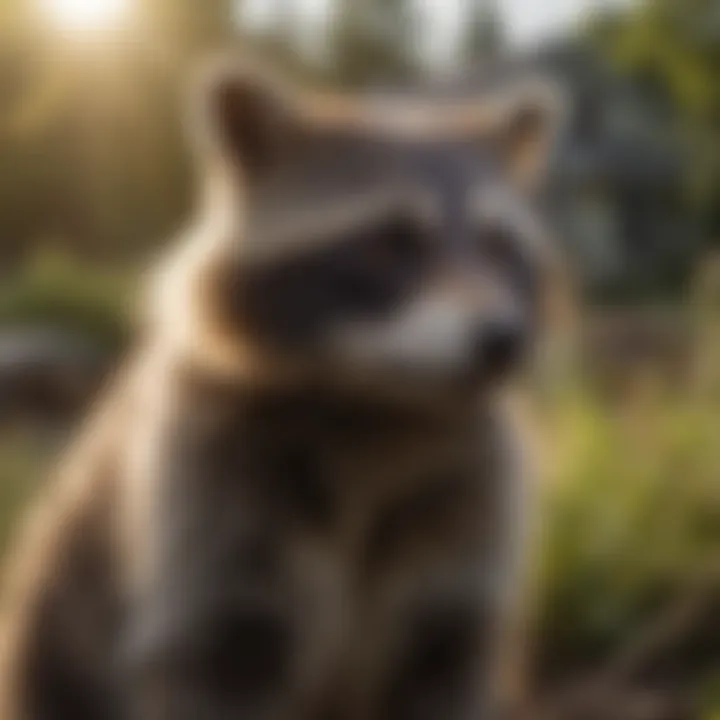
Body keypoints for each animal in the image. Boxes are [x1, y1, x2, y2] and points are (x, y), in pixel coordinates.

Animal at [0, 57, 567, 720]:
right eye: (387, 241)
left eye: (500, 246)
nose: (504, 339)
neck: (376, 401)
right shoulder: (208, 508)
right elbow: (208, 669)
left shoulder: (463, 529)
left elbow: (446, 672)